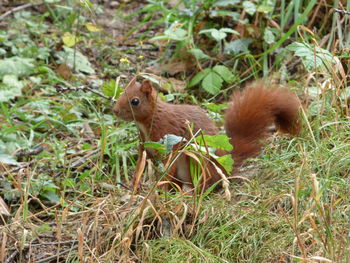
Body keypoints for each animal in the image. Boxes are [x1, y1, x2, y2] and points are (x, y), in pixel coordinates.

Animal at [113, 78, 300, 192]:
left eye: (135, 101)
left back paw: (189, 192)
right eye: (121, 93)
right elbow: (140, 164)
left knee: (206, 183)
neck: (149, 121)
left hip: (198, 161)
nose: (114, 110)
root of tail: (225, 168)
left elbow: (167, 166)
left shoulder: (168, 140)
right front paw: (134, 184)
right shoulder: (144, 146)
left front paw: (160, 187)